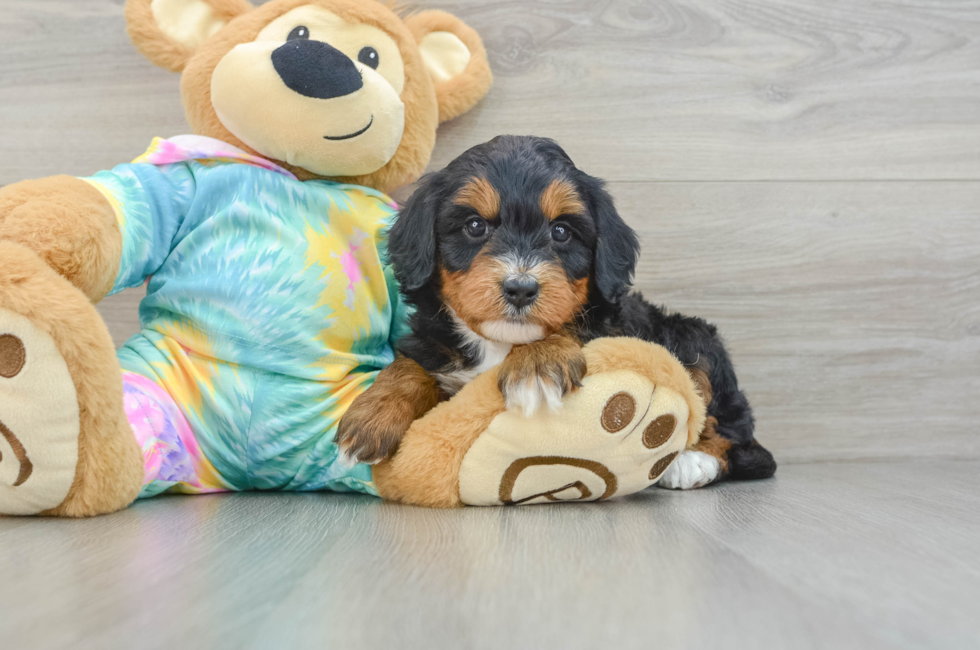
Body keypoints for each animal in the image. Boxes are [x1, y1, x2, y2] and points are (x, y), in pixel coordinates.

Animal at [336, 135, 772, 486]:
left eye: (561, 232)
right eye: (475, 226)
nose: (520, 288)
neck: (498, 344)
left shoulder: (612, 325)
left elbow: (571, 328)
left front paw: (536, 363)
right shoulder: (432, 340)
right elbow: (410, 365)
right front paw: (370, 418)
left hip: (693, 337)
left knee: (726, 423)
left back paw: (691, 462)